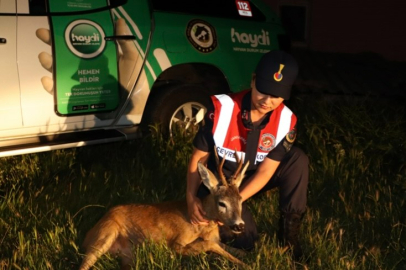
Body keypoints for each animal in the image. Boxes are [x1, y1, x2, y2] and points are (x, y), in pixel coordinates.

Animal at [78, 151, 251, 268]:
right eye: (222, 203)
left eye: (240, 200)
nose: (240, 225)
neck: (202, 226)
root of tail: (87, 235)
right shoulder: (176, 243)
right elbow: (209, 245)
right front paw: (246, 265)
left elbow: (235, 249)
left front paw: (248, 256)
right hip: (105, 234)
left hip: (128, 255)